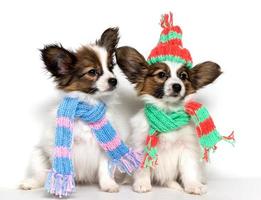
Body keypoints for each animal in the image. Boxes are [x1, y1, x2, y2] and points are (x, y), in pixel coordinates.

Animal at [19, 27, 122, 192]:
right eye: (92, 72)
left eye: (111, 68)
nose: (114, 80)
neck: (88, 105)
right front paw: (62, 184)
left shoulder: (103, 148)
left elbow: (104, 168)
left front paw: (108, 184)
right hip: (38, 155)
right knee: (41, 175)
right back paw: (31, 182)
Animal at [116, 12, 234, 194]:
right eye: (161, 75)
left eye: (183, 76)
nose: (177, 86)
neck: (167, 113)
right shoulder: (142, 145)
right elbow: (142, 168)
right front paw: (142, 184)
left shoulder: (187, 149)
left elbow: (189, 170)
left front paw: (193, 185)